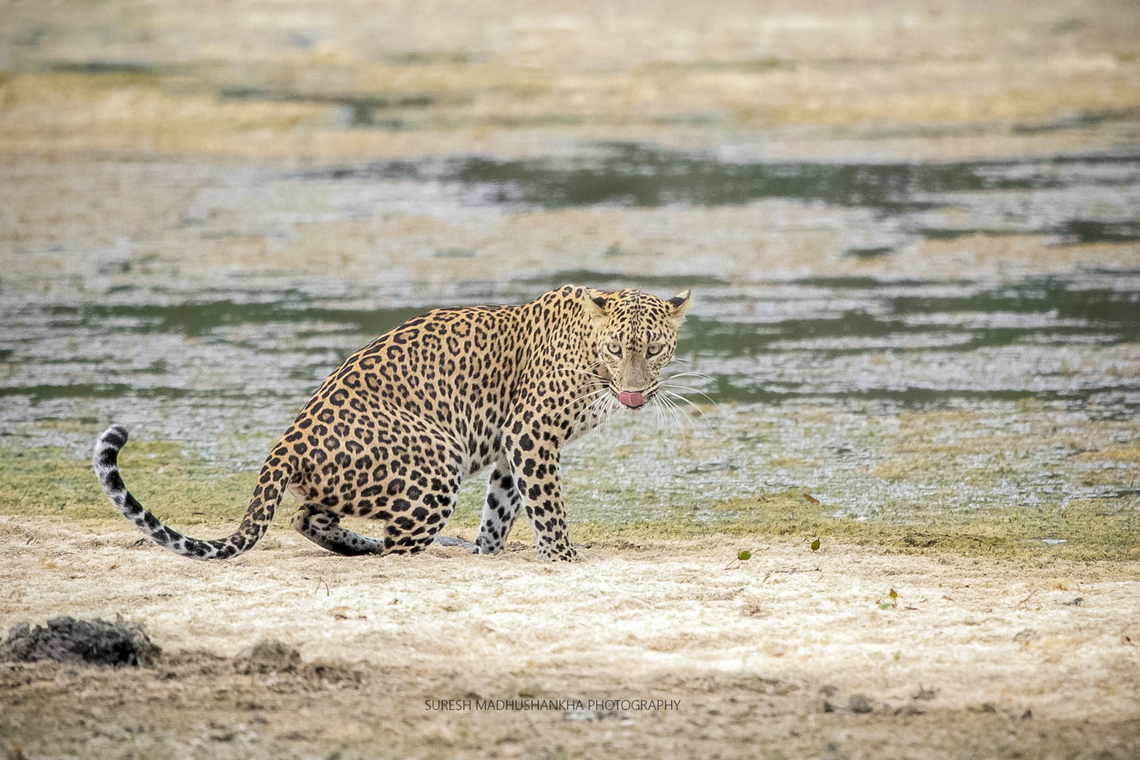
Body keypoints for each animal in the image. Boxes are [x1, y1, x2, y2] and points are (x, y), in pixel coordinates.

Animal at [94, 285, 692, 562]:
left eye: (654, 349)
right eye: (616, 348)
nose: (634, 392)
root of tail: (286, 444)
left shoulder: (509, 447)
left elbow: (502, 508)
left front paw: (487, 554)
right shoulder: (531, 433)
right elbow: (547, 507)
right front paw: (564, 558)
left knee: (308, 517)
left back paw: (364, 546)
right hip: (437, 462)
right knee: (396, 541)